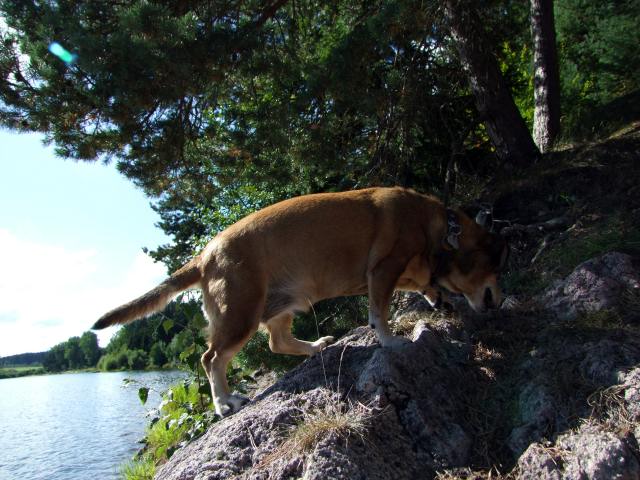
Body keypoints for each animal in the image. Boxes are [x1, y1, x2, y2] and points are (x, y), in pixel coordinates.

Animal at [92, 188, 508, 416]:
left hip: (282, 304)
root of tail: (205, 254)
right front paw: (391, 340)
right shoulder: (383, 271)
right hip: (241, 313)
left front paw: (438, 298)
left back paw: (317, 346)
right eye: (496, 265)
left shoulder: (404, 272)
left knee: (277, 342)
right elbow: (380, 312)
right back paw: (224, 402)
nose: (499, 303)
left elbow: (421, 286)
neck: (437, 227)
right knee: (212, 359)